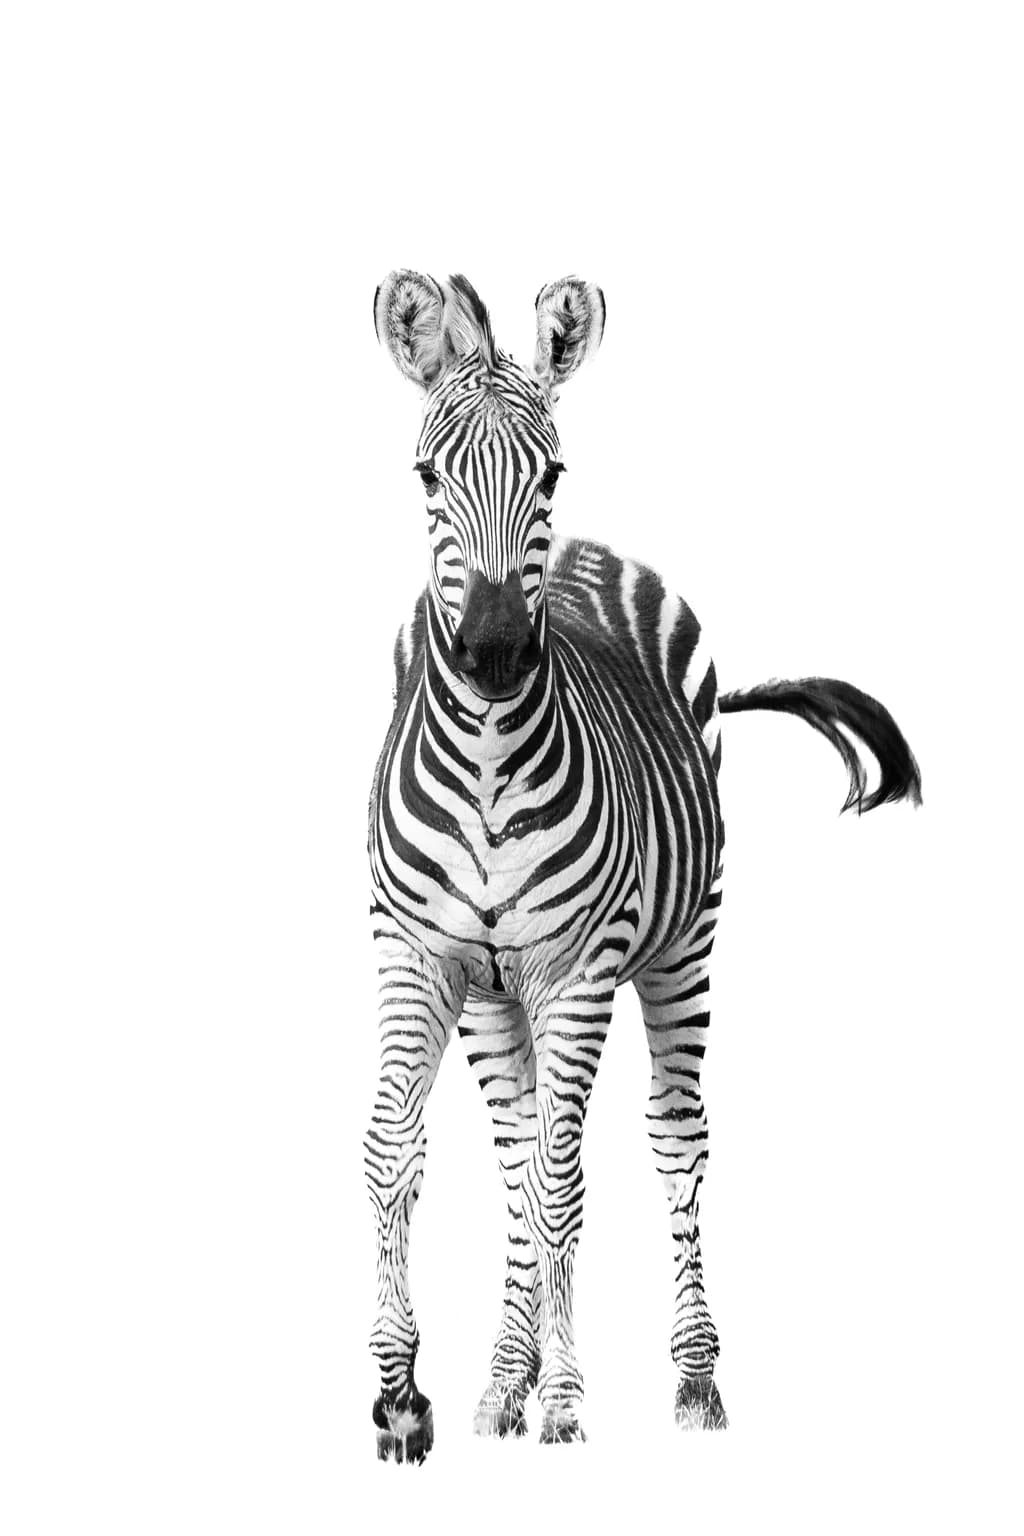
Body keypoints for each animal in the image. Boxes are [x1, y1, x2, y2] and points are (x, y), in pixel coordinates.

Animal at [365, 270, 921, 1463]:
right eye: (427, 474)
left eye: (551, 472)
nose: (492, 654)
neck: (487, 763)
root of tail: (594, 553)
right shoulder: (416, 958)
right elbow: (398, 1150)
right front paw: (401, 1396)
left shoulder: (577, 974)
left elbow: (564, 1183)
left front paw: (570, 1402)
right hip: (496, 993)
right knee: (514, 1150)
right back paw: (503, 1381)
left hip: (684, 945)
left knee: (672, 1138)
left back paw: (693, 1380)